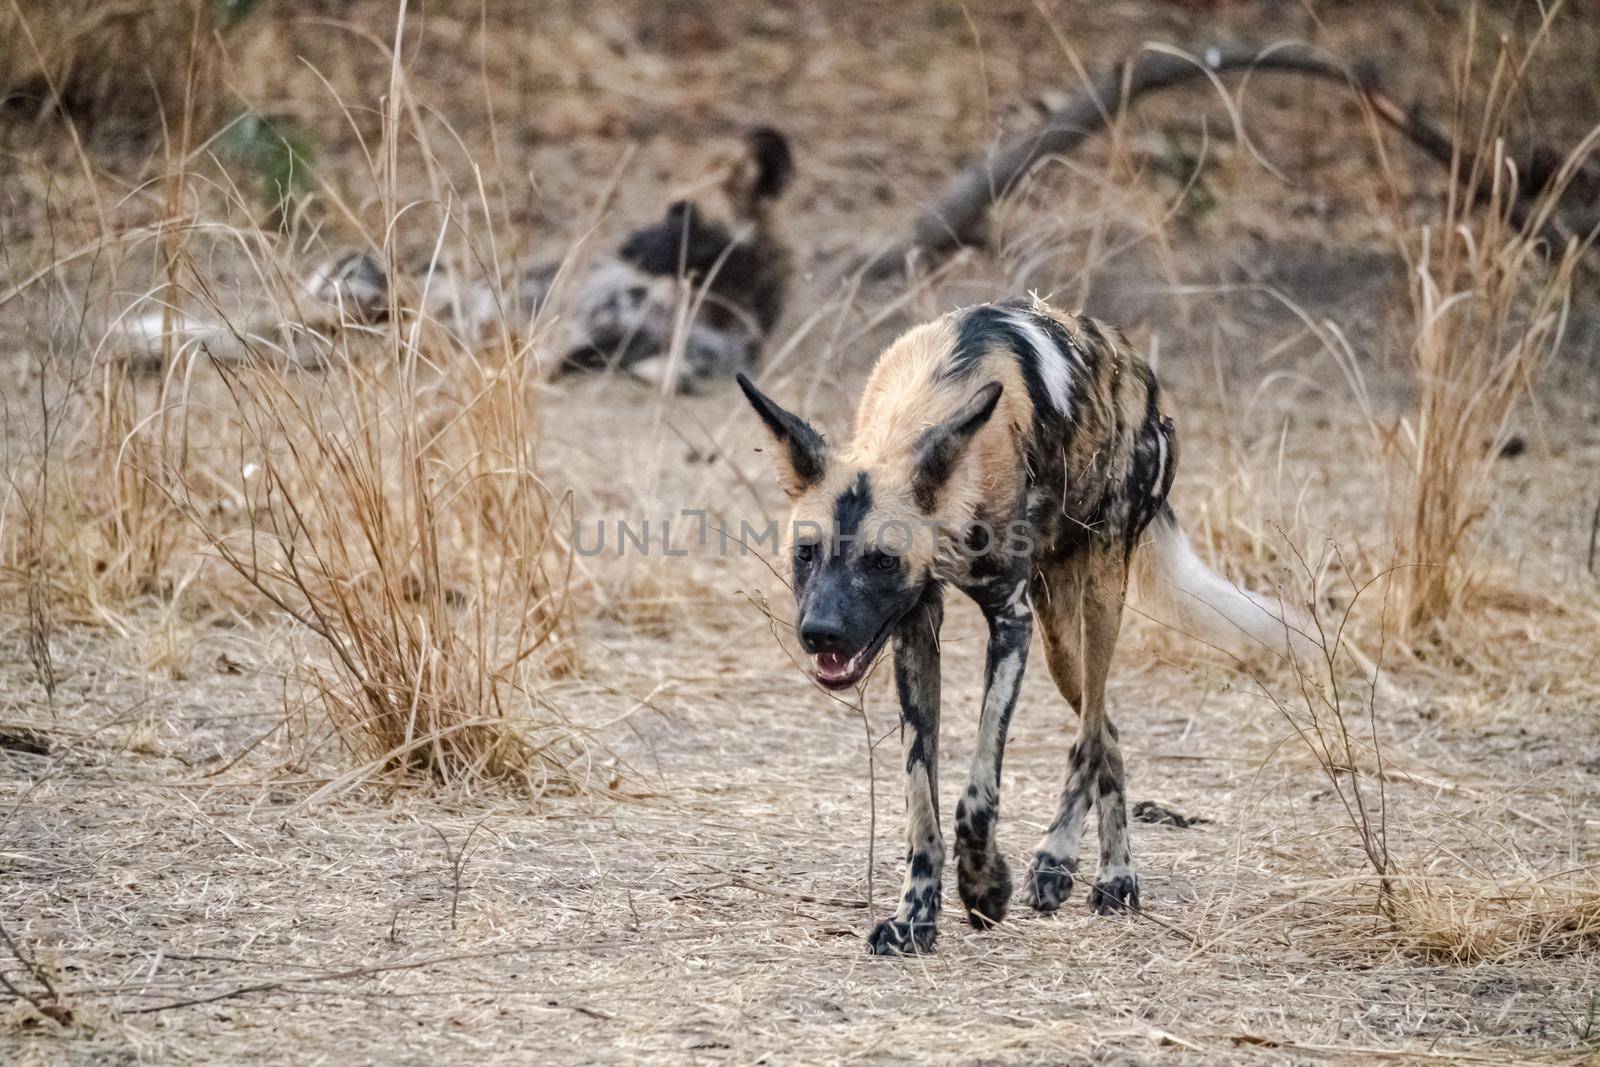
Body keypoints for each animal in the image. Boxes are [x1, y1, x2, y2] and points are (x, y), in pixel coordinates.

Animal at [732, 295, 1305, 953]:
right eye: (806, 553)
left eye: (880, 560)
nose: (820, 633)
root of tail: (1137, 368)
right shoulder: (915, 628)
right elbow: (921, 802)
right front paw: (915, 918)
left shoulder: (1010, 621)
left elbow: (974, 795)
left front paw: (984, 887)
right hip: (1058, 635)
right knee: (1108, 733)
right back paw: (1109, 871)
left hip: (1095, 597)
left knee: (1089, 734)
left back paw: (1070, 865)